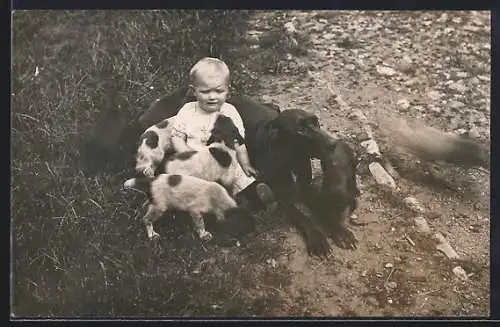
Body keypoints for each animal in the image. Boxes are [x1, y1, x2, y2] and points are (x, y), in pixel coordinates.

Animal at [123, 174, 256, 241]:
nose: (253, 231)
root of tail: (151, 181)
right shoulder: (195, 209)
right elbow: (201, 223)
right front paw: (203, 234)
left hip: (155, 204)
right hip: (159, 207)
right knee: (146, 219)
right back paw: (152, 235)